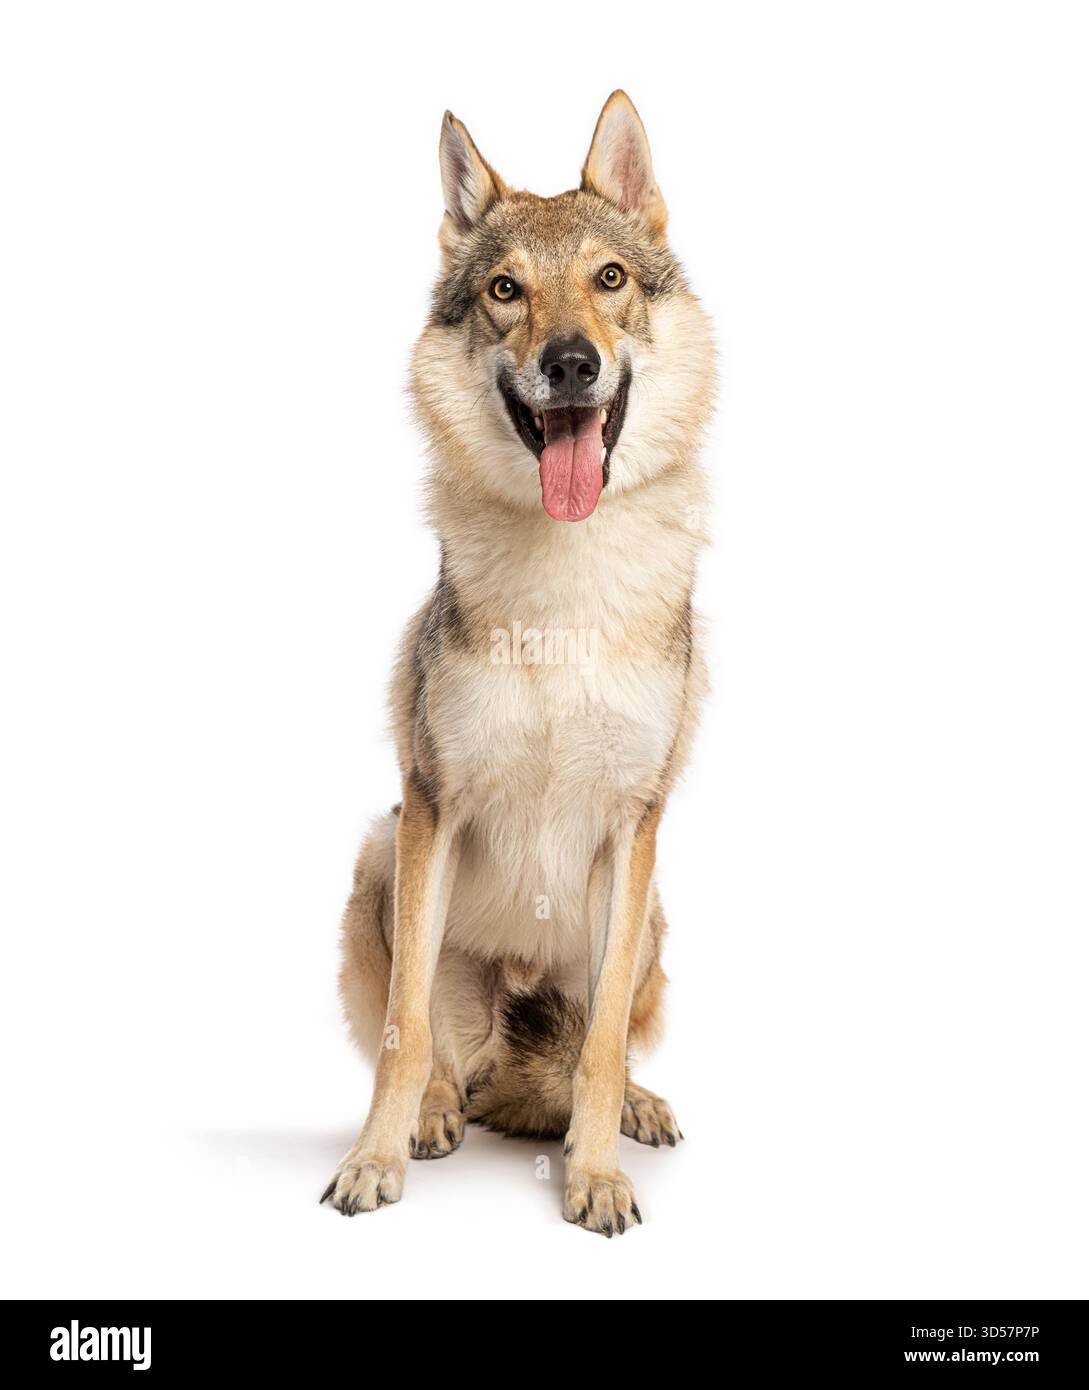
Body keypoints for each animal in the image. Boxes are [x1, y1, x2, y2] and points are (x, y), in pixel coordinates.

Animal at [321, 92, 714, 1235]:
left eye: (609, 279)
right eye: (506, 291)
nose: (573, 362)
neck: (565, 589)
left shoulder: (636, 823)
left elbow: (598, 1044)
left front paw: (595, 1173)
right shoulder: (431, 802)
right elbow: (404, 1031)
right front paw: (375, 1160)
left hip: (653, 909)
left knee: (589, 1043)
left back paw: (632, 1107)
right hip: (381, 852)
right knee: (445, 1051)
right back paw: (440, 1112)